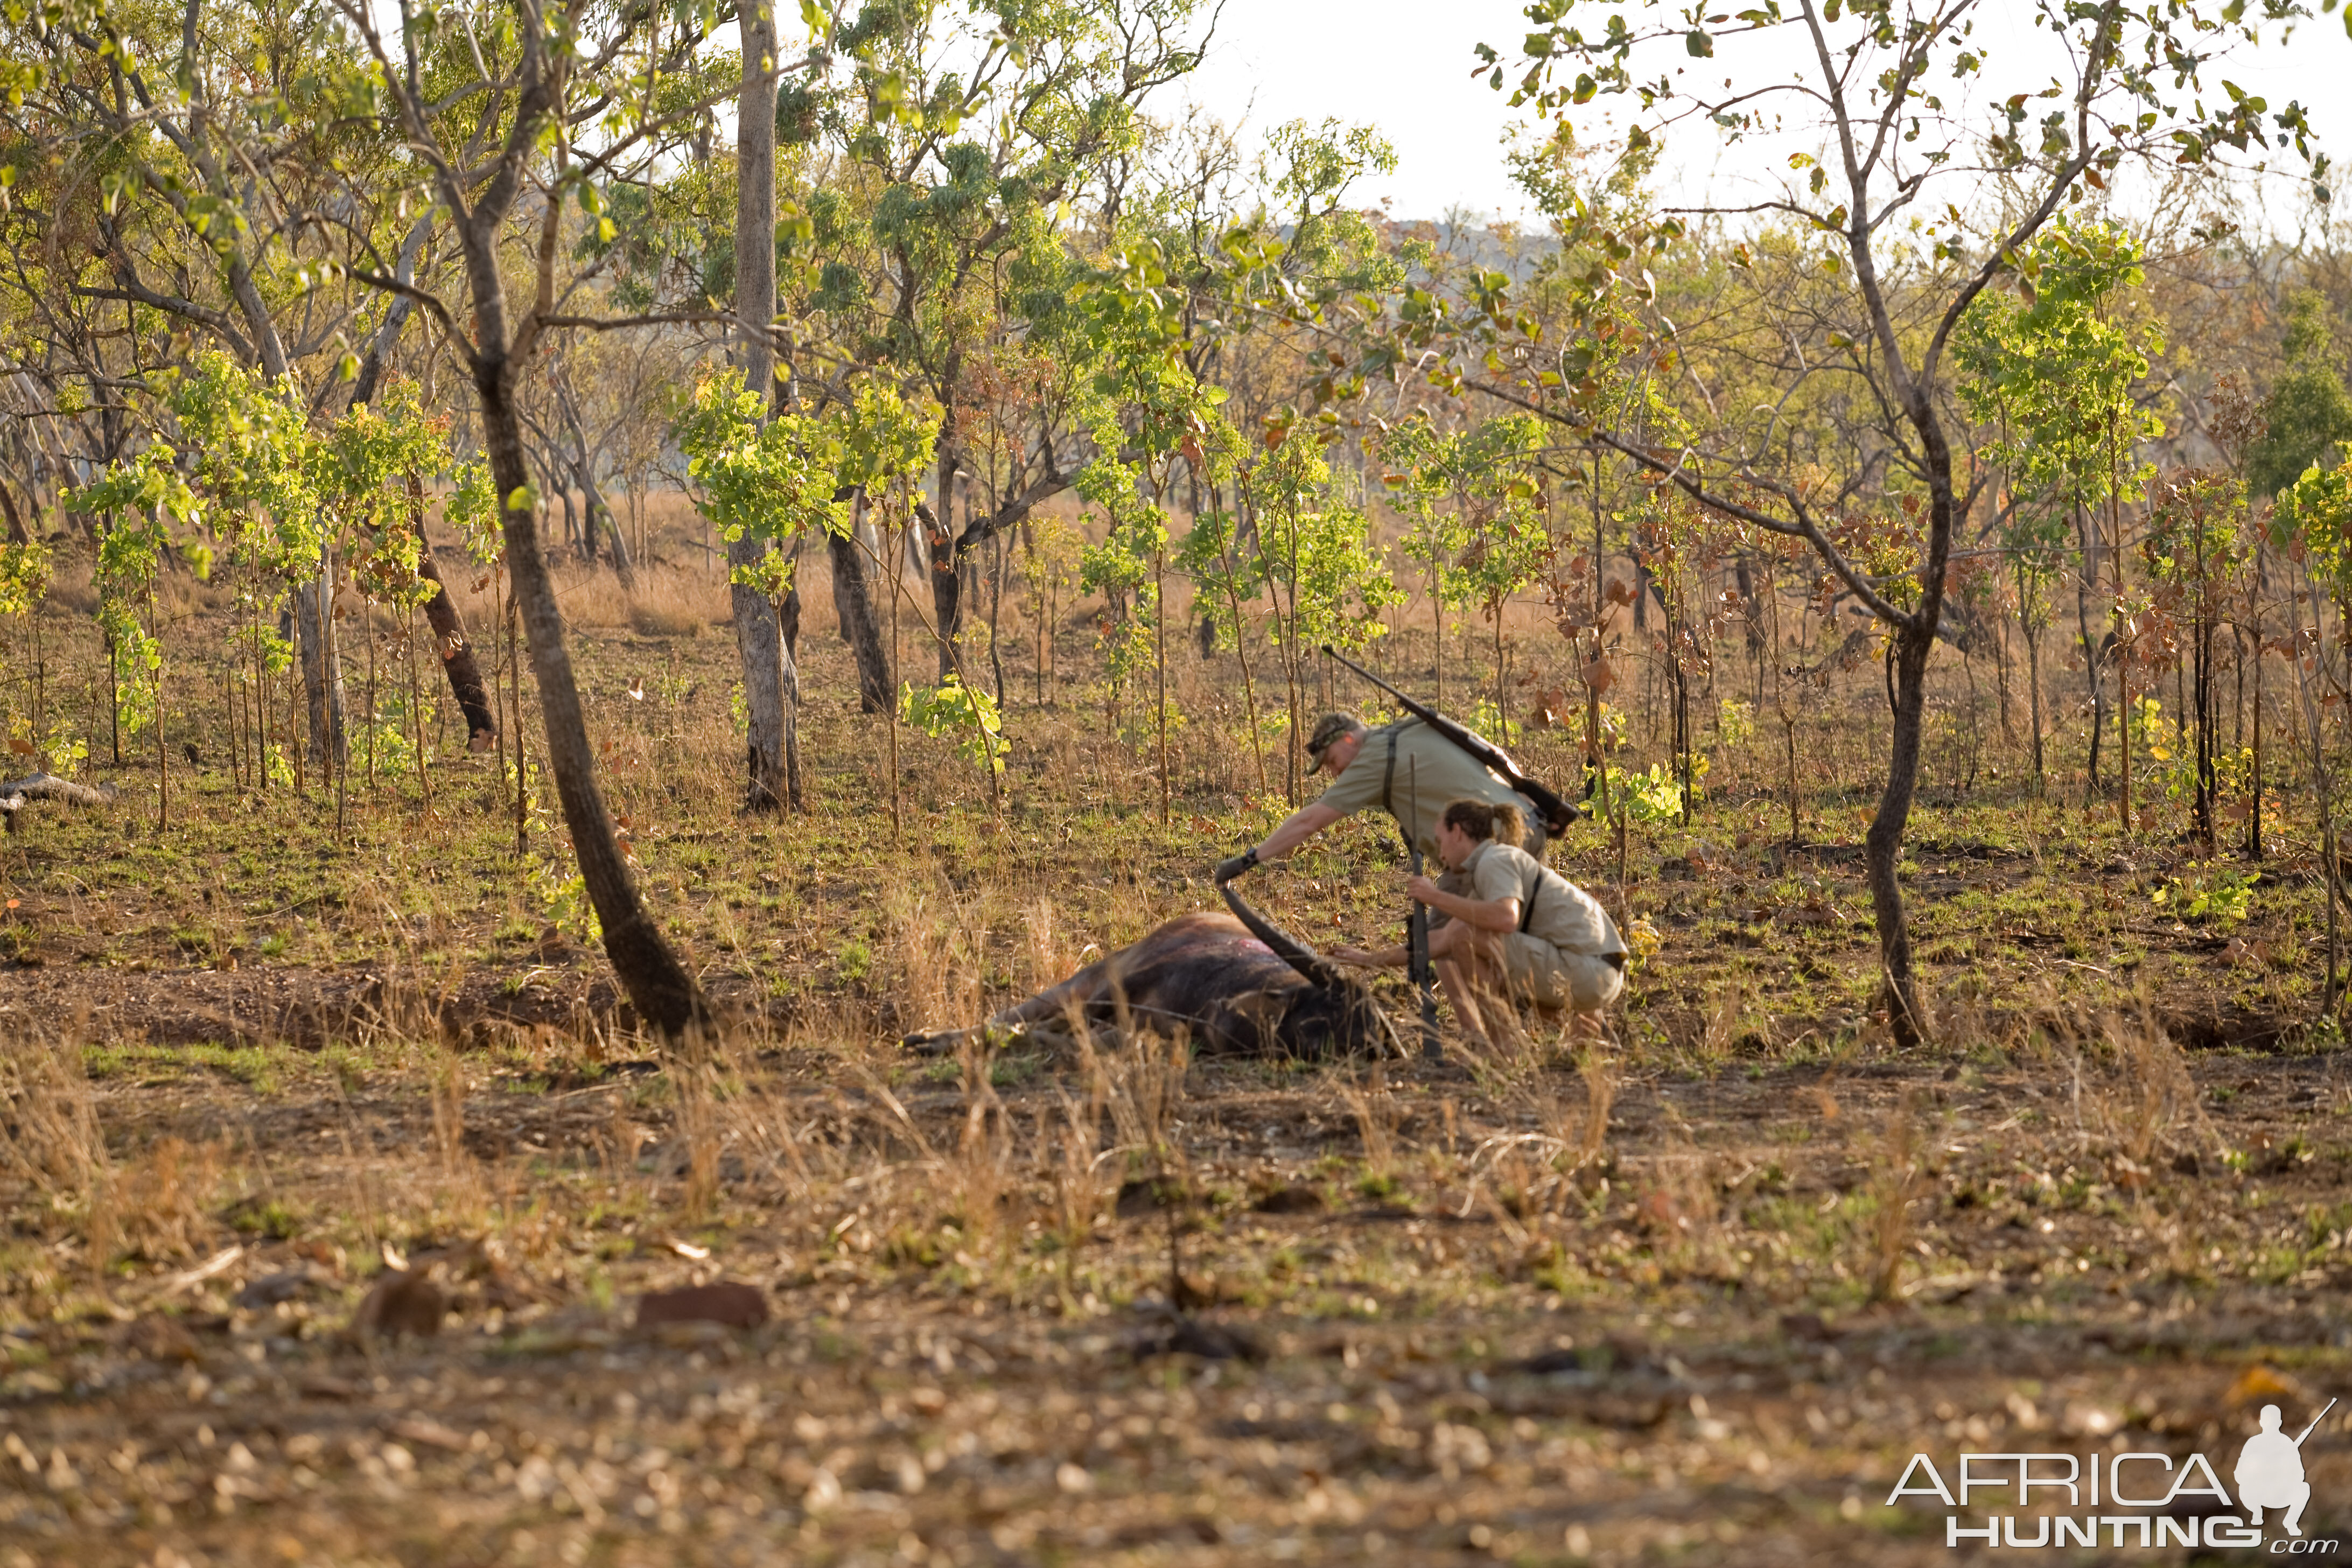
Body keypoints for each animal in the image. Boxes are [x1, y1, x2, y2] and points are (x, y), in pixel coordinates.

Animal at [903, 888, 1392, 1062]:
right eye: (1321, 1011)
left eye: (1331, 1039)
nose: (1224, 1021)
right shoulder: (1110, 989)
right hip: (1079, 981)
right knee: (1010, 1014)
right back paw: (927, 1037)